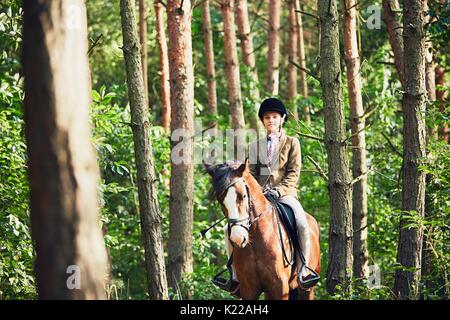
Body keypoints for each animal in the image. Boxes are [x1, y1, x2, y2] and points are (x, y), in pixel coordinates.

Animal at [206, 160, 322, 300]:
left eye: (242, 196)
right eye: (220, 200)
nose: (238, 239)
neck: (256, 240)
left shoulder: (280, 287)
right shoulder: (248, 288)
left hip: (307, 289)